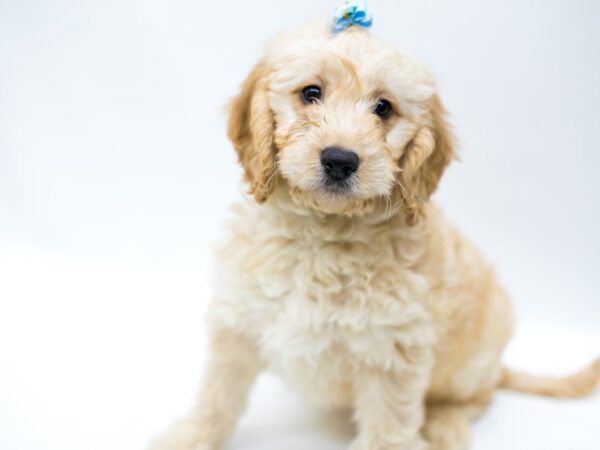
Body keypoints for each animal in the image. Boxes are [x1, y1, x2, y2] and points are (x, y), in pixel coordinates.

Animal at [150, 22, 600, 450]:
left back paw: (445, 427)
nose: (339, 160)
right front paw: (190, 437)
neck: (322, 233)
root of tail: (497, 367)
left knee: (475, 398)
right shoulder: (237, 319)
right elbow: (217, 392)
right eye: (311, 93)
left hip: (475, 358)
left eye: (384, 108)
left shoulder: (393, 350)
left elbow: (388, 428)